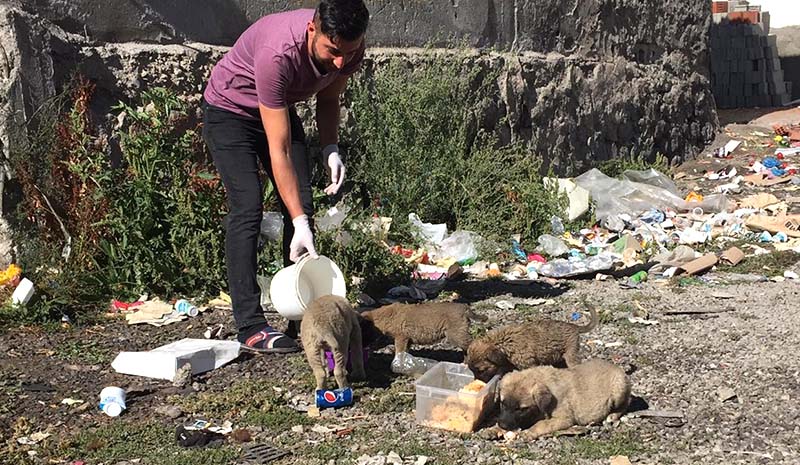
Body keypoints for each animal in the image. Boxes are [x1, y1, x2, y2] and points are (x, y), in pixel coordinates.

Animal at [466, 304, 596, 380]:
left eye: (481, 370)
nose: (477, 382)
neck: (503, 342)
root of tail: (575, 327)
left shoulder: (529, 364)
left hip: (570, 354)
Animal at [494, 358, 632, 436]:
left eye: (521, 409)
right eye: (502, 403)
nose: (503, 425)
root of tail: (617, 367)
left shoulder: (563, 419)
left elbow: (542, 424)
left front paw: (530, 432)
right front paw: (494, 429)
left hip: (618, 389)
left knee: (625, 404)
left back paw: (612, 416)